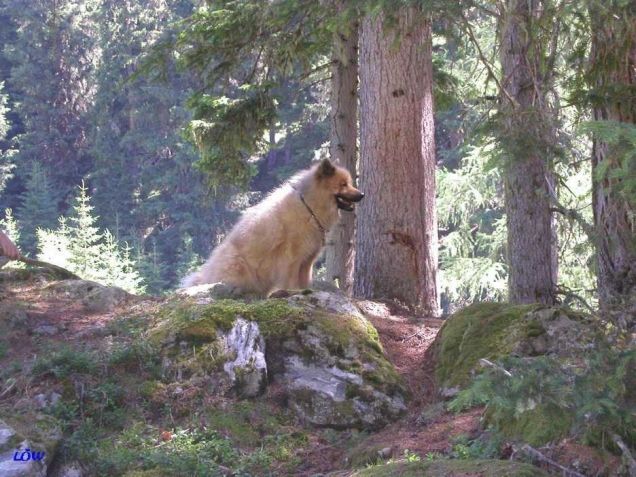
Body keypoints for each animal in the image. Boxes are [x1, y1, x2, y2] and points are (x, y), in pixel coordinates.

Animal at [181, 159, 366, 294]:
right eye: (343, 185)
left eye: (349, 183)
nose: (362, 194)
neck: (309, 207)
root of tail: (204, 276)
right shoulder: (292, 259)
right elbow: (291, 281)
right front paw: (294, 293)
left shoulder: (307, 261)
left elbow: (305, 281)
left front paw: (306, 291)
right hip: (239, 266)